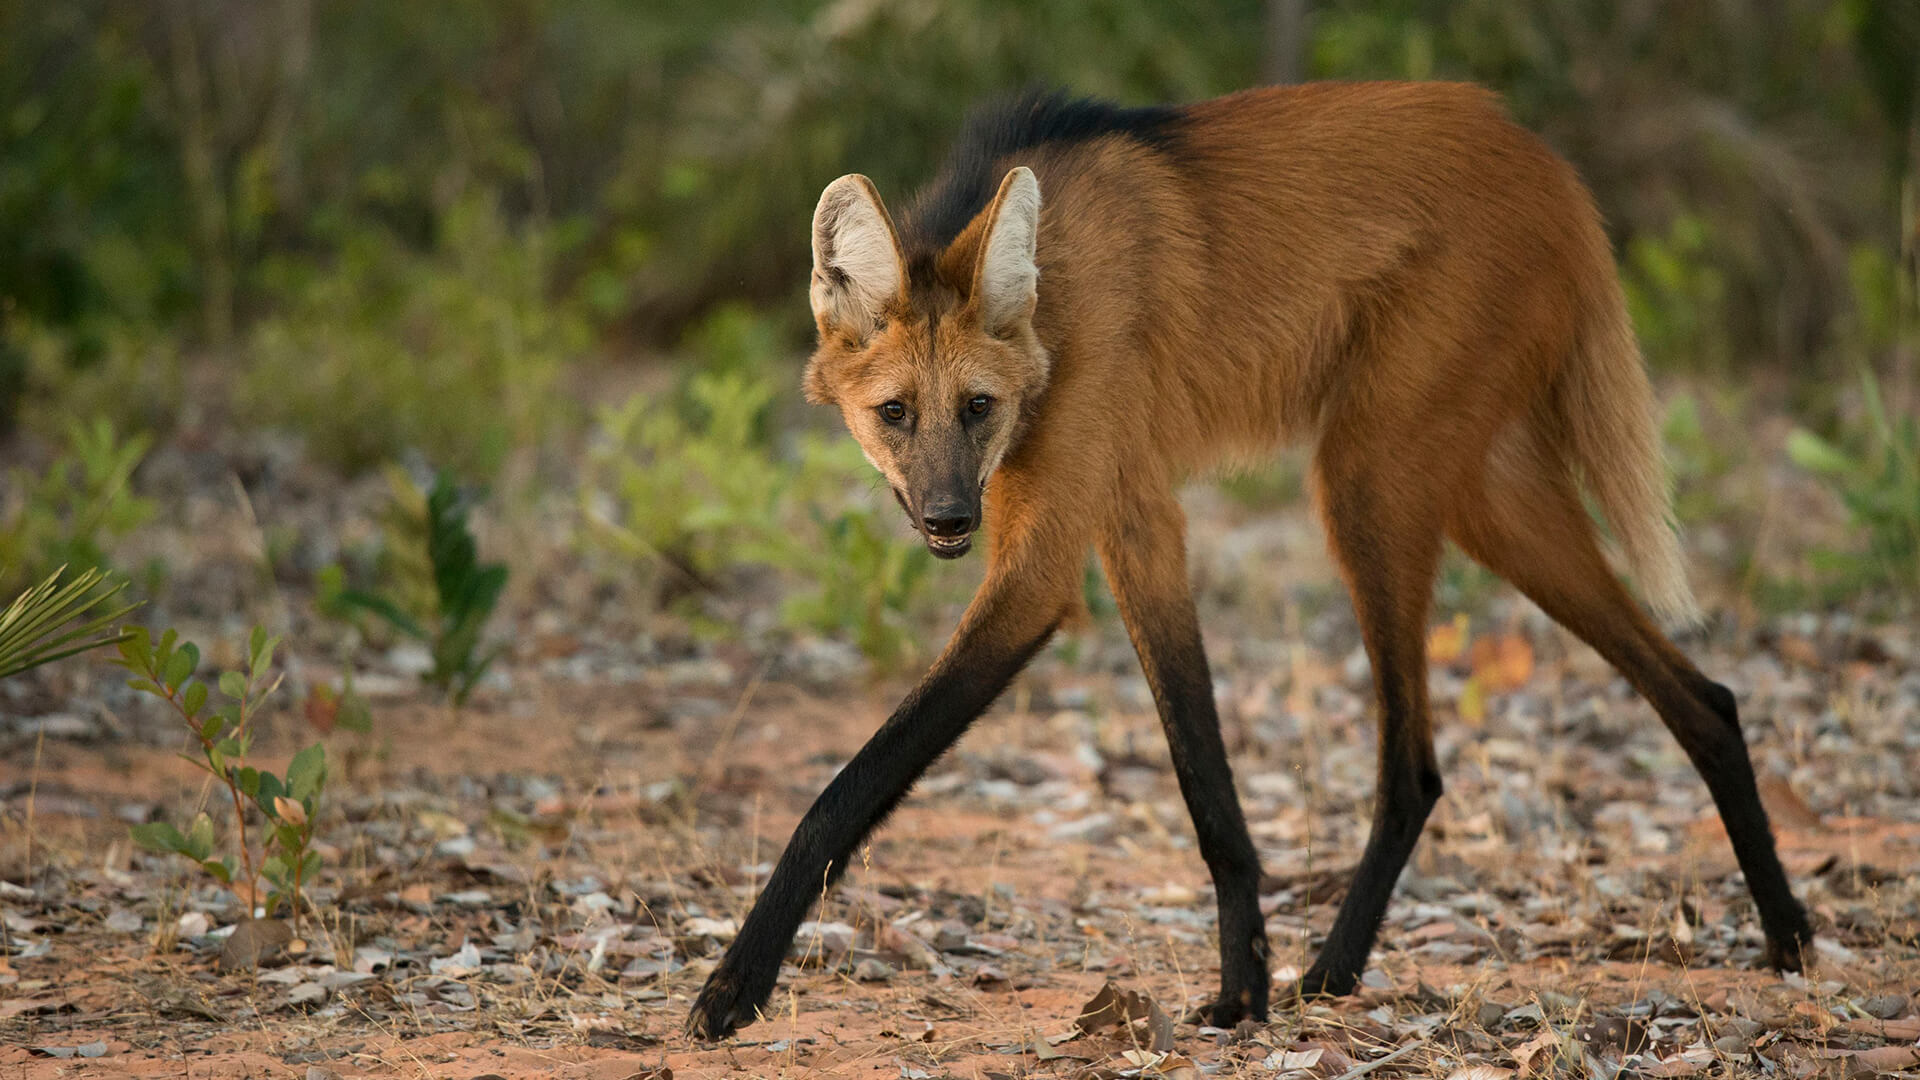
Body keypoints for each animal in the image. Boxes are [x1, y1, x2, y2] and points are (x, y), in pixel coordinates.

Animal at [691, 82, 1812, 1037]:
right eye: (895, 414)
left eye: (976, 408)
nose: (949, 518)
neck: (1055, 294)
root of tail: (1543, 157)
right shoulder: (1137, 520)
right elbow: (1206, 780)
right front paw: (1244, 987)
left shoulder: (1048, 562)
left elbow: (846, 788)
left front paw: (733, 987)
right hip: (1484, 494)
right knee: (1702, 698)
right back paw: (1788, 933)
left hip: (1367, 479)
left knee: (1413, 766)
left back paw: (1337, 970)